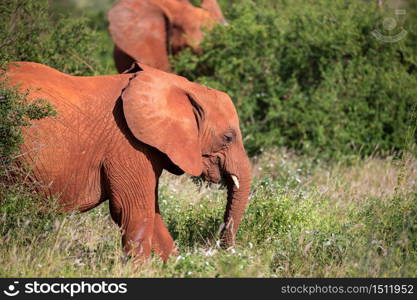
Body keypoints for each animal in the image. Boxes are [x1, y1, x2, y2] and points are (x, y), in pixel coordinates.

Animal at [4, 61, 250, 262]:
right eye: (228, 138)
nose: (223, 250)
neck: (179, 85)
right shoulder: (126, 143)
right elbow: (134, 209)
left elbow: (152, 212)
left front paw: (172, 265)